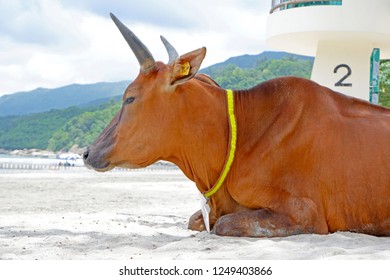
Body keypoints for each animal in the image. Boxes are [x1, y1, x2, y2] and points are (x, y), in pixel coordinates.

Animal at [84, 12, 390, 236]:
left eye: (129, 98)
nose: (86, 152)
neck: (241, 134)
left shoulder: (306, 214)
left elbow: (223, 224)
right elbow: (196, 220)